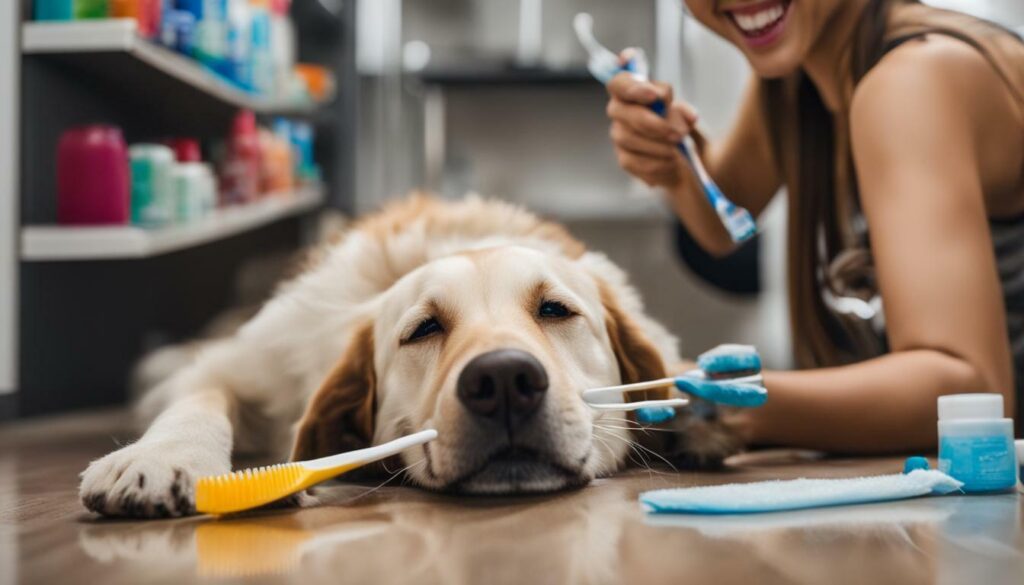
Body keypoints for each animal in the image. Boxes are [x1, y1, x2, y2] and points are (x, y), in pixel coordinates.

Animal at [77, 193, 737, 516]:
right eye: (423, 329)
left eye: (555, 310)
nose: (503, 380)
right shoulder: (234, 367)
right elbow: (199, 401)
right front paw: (162, 457)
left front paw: (702, 416)